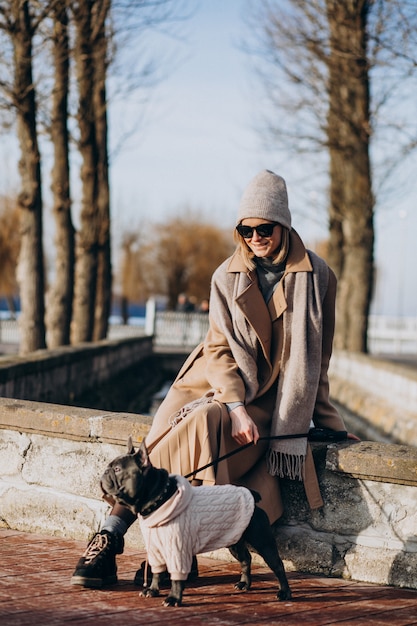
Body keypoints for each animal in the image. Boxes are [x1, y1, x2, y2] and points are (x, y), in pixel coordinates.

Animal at [101, 438, 290, 604]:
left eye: (117, 469)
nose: (104, 472)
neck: (159, 499)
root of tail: (252, 495)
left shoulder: (179, 550)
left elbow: (176, 577)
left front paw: (173, 598)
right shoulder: (157, 549)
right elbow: (156, 571)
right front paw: (153, 590)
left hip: (262, 541)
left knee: (277, 565)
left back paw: (285, 593)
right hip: (234, 541)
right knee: (246, 559)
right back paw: (245, 584)